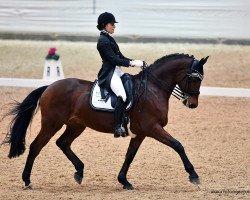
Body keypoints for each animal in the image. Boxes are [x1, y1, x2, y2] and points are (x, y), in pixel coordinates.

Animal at [2, 52, 209, 189]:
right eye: (194, 79)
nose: (193, 104)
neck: (153, 89)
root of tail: (49, 86)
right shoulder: (152, 128)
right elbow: (177, 145)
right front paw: (194, 176)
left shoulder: (140, 133)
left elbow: (129, 156)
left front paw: (124, 181)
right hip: (52, 123)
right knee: (36, 146)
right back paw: (27, 181)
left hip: (76, 125)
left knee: (63, 143)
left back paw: (79, 172)